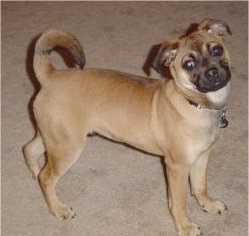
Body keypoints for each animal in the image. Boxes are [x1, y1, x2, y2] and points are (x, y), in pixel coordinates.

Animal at [23, 18, 231, 236]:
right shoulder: (177, 167)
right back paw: (58, 209)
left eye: (217, 50)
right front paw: (185, 226)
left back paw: (35, 174)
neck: (195, 103)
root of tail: (50, 75)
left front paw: (209, 204)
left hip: (54, 137)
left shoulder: (202, 156)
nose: (213, 72)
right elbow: (178, 202)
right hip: (67, 146)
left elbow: (200, 186)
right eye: (188, 64)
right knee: (47, 178)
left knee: (29, 150)